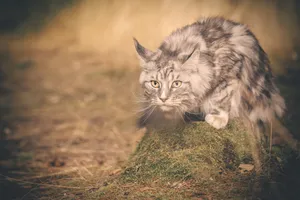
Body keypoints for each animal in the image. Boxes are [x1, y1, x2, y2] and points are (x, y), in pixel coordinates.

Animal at [134, 16, 298, 165]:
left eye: (176, 83)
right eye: (155, 83)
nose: (163, 98)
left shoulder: (231, 71)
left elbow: (221, 95)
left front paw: (218, 117)